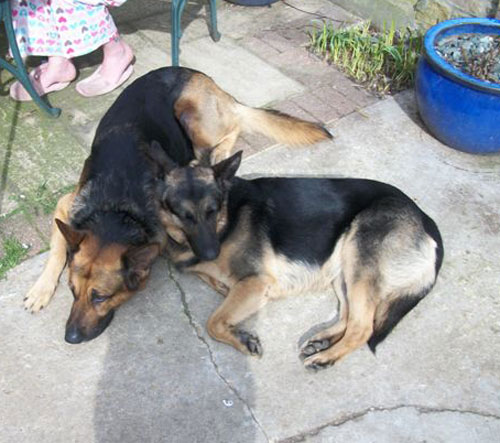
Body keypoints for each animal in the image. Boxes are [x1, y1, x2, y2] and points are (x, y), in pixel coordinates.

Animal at [25, 67, 334, 344]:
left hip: (193, 117)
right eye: (72, 291)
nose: (70, 338)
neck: (115, 209)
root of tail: (200, 75)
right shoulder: (67, 205)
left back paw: (214, 155)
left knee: (231, 130)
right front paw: (41, 289)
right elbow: (57, 248)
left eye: (101, 297)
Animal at [150, 150, 444, 372]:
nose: (210, 253)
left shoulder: (255, 283)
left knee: (363, 327)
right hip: (342, 269)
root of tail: (424, 217)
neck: (228, 216)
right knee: (350, 316)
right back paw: (322, 341)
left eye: (212, 211)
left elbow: (213, 322)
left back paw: (326, 358)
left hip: (359, 259)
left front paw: (242, 339)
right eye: (184, 215)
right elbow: (216, 287)